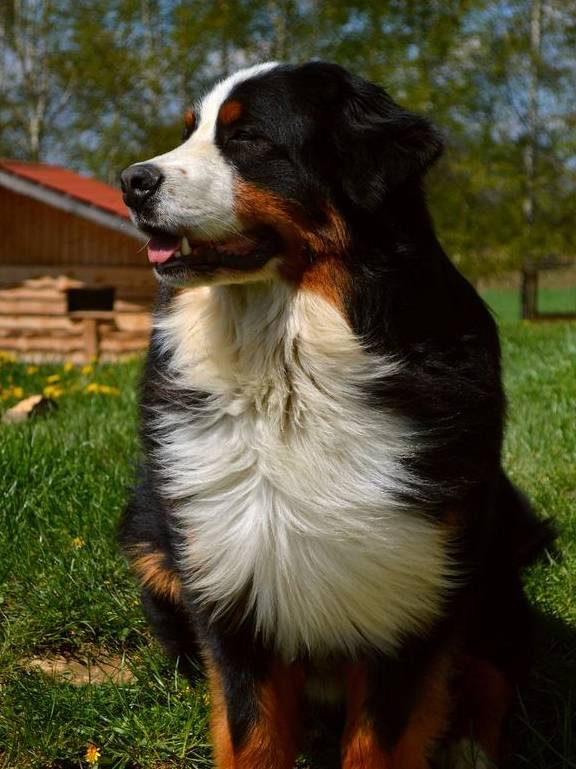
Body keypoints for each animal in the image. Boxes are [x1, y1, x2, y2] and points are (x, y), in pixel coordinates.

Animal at [119, 63, 552, 764]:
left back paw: (469, 747)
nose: (131, 181)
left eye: (248, 138)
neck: (288, 377)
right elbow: (251, 734)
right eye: (189, 131)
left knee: (496, 670)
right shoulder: (234, 587)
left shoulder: (410, 593)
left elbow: (380, 740)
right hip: (150, 547)